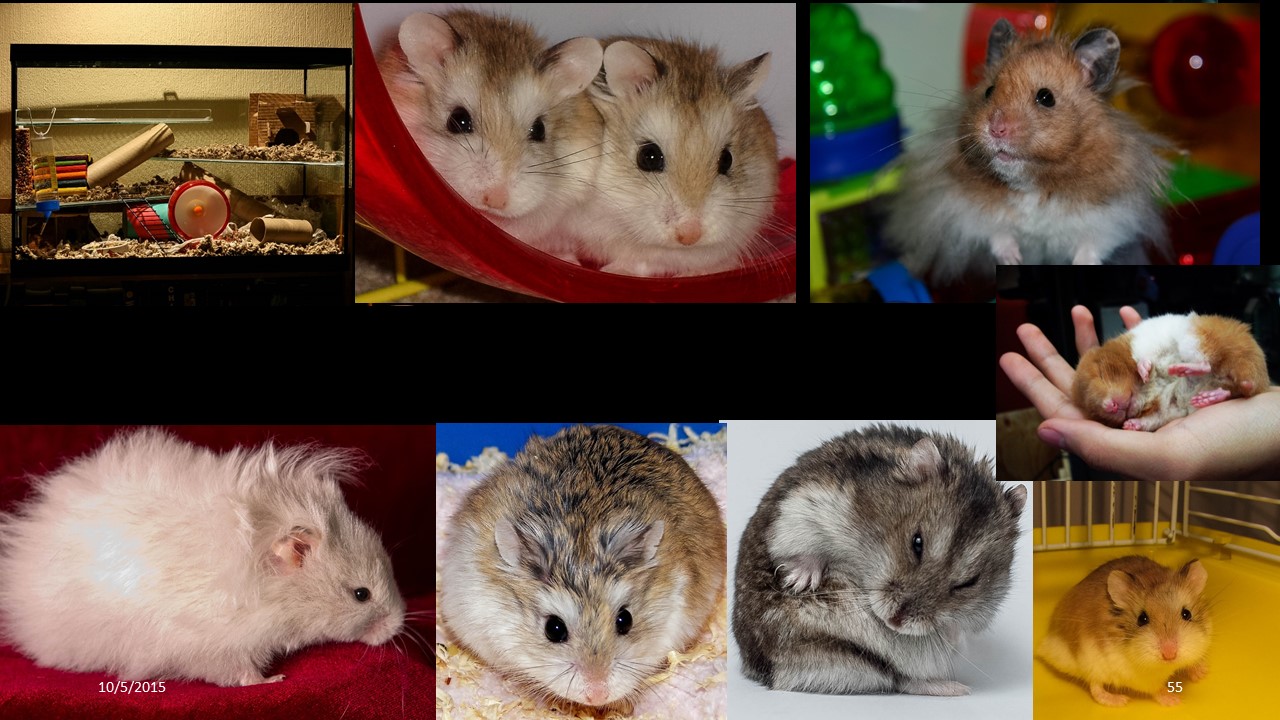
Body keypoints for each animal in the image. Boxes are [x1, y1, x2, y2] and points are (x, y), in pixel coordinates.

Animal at [732, 425, 1025, 695]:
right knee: (894, 676)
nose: (895, 622)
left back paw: (955, 687)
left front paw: (952, 633)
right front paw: (799, 581)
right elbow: (803, 546)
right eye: (917, 543)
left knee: (900, 677)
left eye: (969, 583)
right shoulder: (805, 505)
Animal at [886, 19, 1171, 285]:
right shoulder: (965, 207)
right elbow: (996, 234)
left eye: (1046, 98)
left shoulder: (1113, 217)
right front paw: (1013, 260)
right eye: (989, 91)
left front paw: (1079, 267)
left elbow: (1091, 248)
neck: (1032, 182)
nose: (996, 129)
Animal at [1037, 555, 1211, 706]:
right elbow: (1156, 689)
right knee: (1095, 688)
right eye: (1142, 619)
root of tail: (1046, 645)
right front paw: (1174, 700)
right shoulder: (1141, 679)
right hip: (1091, 664)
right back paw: (1120, 700)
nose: (1170, 654)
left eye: (1187, 614)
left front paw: (1202, 673)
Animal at [1072, 312, 1271, 431]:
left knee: (1205, 363)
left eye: (1100, 373)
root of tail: (1259, 379)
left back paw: (1181, 369)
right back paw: (1207, 397)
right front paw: (1129, 424)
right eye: (1095, 413)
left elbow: (1144, 357)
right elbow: (1152, 419)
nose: (1111, 407)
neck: (1142, 390)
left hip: (1195, 337)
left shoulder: (1143, 345)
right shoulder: (1166, 407)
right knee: (1230, 390)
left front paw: (1145, 371)